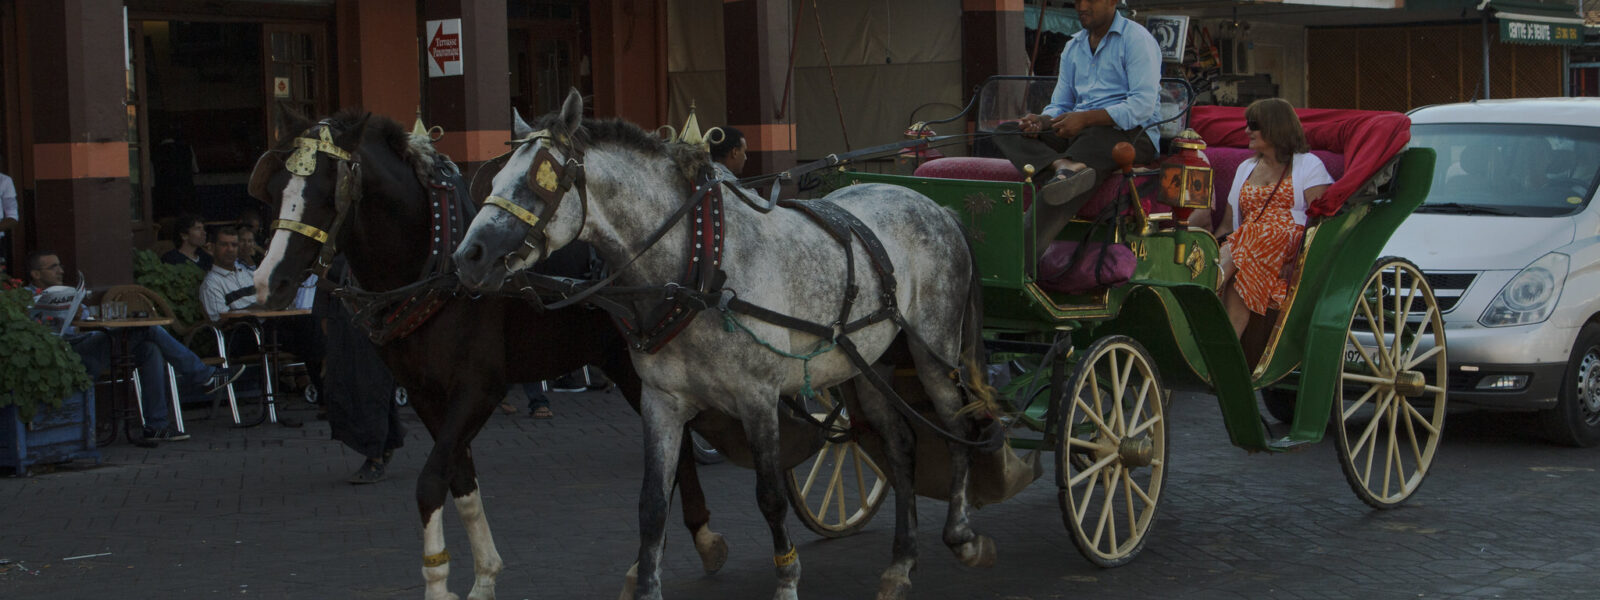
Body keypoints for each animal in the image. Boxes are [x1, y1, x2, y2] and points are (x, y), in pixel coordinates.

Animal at [248, 112, 726, 600]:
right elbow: (459, 481)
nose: (270, 282)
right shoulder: (426, 395)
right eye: (274, 188)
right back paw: (690, 544)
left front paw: (438, 584)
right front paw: (484, 578)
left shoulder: (479, 388)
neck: (436, 256)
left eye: (328, 193)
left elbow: (430, 482)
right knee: (677, 452)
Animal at [454, 90, 998, 600]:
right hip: (869, 366)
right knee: (901, 447)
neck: (699, 265)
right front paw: (647, 585)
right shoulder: (662, 401)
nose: (468, 256)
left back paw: (962, 535)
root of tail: (936, 206)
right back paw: (901, 564)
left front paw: (787, 580)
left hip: (934, 349)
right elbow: (652, 503)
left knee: (955, 425)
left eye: (538, 182)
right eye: (496, 179)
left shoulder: (757, 397)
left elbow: (771, 496)